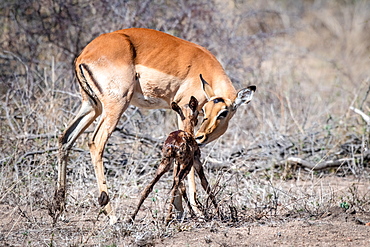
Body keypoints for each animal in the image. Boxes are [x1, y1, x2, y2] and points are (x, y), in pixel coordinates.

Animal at [130, 96, 218, 224]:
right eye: (197, 110)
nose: (202, 117)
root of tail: (173, 144)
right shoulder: (196, 164)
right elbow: (205, 184)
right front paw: (219, 213)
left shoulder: (176, 165)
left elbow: (182, 188)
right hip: (185, 165)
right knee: (175, 184)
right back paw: (167, 218)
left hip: (165, 164)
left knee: (150, 186)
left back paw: (130, 218)